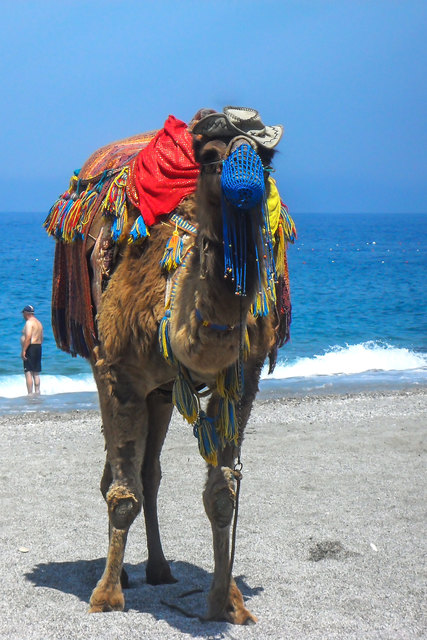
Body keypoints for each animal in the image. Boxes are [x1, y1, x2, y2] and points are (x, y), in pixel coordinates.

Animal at [46, 106, 295, 624]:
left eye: (267, 159)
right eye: (210, 155)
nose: (246, 185)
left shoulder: (242, 382)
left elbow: (222, 495)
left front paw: (225, 602)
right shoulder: (118, 372)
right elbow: (122, 496)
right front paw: (105, 597)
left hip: (162, 394)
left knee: (150, 473)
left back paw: (159, 570)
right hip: (110, 366)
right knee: (122, 477)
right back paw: (123, 574)